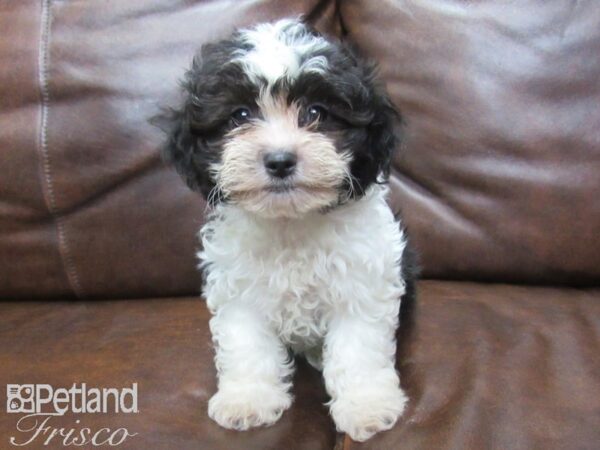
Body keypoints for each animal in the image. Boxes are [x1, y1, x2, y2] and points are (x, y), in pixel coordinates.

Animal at [158, 18, 418, 442]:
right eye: (239, 115)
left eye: (317, 112)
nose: (280, 160)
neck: (291, 222)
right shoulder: (239, 289)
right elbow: (246, 344)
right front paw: (247, 400)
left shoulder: (362, 285)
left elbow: (358, 349)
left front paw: (366, 405)